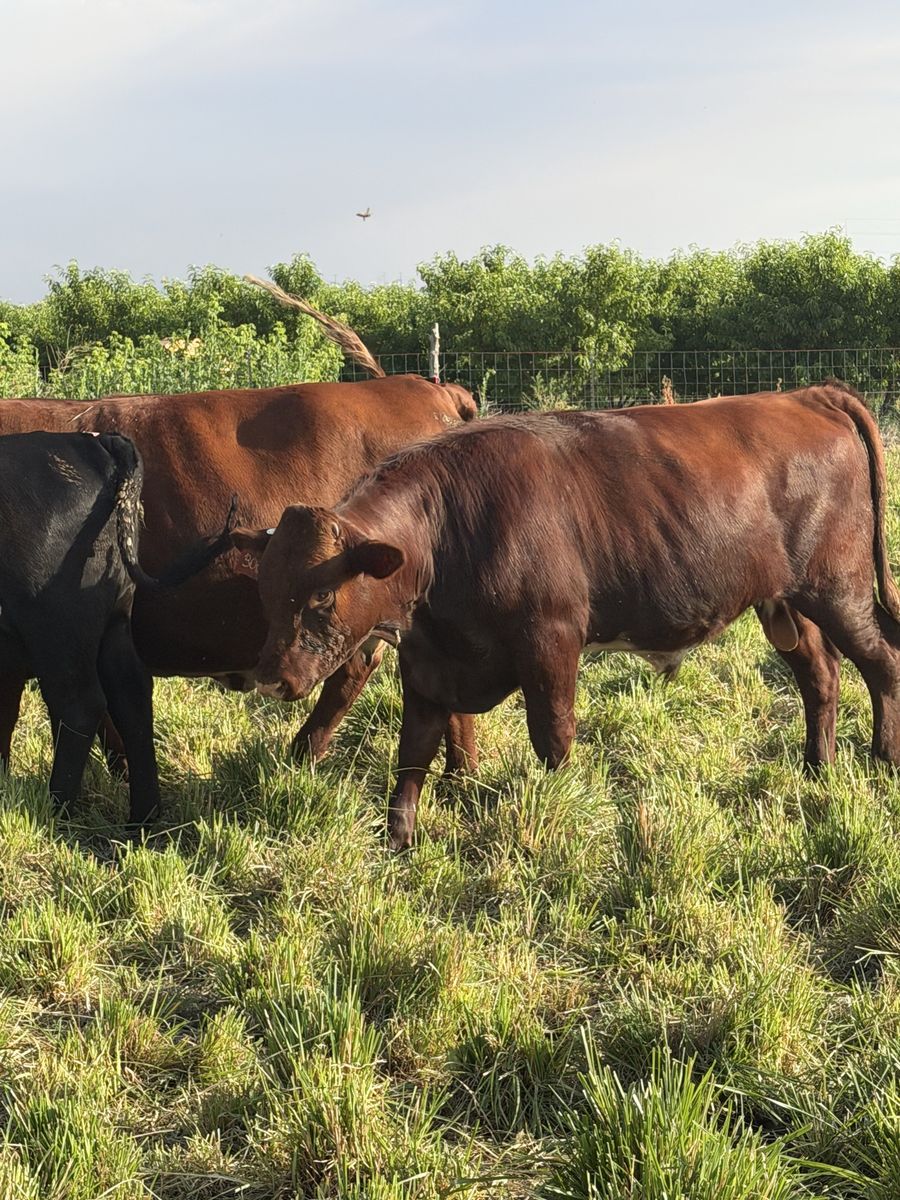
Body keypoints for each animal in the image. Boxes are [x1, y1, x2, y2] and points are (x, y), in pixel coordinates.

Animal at [0, 431, 234, 828]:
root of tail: (93, 441)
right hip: (114, 621)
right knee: (132, 700)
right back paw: (143, 817)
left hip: (58, 630)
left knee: (79, 706)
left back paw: (55, 811)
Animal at [230, 382, 900, 849]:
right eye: (264, 593)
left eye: (321, 597)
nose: (270, 678)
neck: (446, 528)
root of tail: (805, 394)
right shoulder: (427, 664)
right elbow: (412, 753)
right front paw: (397, 843)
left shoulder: (550, 638)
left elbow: (552, 736)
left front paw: (557, 814)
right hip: (784, 601)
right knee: (820, 674)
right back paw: (818, 767)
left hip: (838, 589)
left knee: (882, 662)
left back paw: (884, 758)